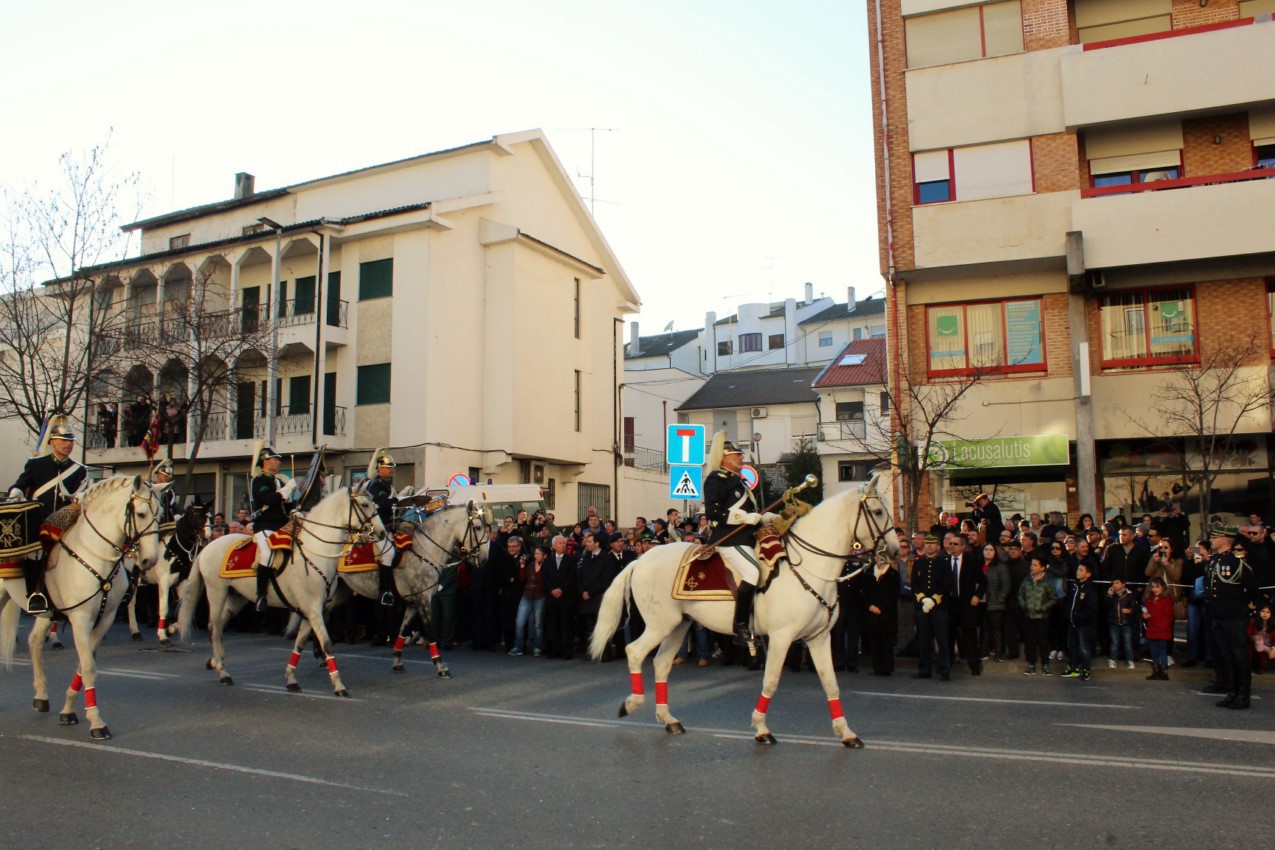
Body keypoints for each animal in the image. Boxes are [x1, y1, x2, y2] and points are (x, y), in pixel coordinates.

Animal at [0, 476, 165, 739]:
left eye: (160, 514)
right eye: (140, 514)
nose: (150, 560)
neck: (96, 555)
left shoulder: (104, 619)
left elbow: (84, 663)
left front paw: (68, 710)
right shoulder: (80, 619)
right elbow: (88, 667)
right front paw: (97, 721)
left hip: (46, 611)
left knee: (34, 641)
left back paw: (41, 697)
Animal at [126, 504, 206, 644]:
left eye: (208, 516)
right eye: (196, 515)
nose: (207, 536)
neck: (175, 549)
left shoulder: (181, 583)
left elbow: (183, 607)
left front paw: (171, 629)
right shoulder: (164, 583)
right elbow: (164, 608)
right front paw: (163, 635)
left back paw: (135, 632)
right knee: (130, 603)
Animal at [178, 484, 382, 698]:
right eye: (365, 504)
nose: (382, 532)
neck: (316, 551)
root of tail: (208, 547)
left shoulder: (312, 610)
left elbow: (300, 643)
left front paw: (291, 679)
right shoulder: (313, 609)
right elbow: (327, 643)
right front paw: (339, 685)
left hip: (237, 598)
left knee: (218, 625)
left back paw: (216, 662)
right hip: (216, 592)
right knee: (215, 627)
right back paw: (223, 672)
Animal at [586, 476, 897, 749]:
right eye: (878, 511)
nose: (893, 552)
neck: (810, 565)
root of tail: (640, 560)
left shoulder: (818, 639)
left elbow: (831, 685)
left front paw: (847, 733)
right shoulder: (782, 637)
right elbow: (771, 681)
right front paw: (761, 728)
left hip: (678, 626)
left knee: (661, 663)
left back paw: (669, 719)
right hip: (660, 625)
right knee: (635, 652)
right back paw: (631, 703)